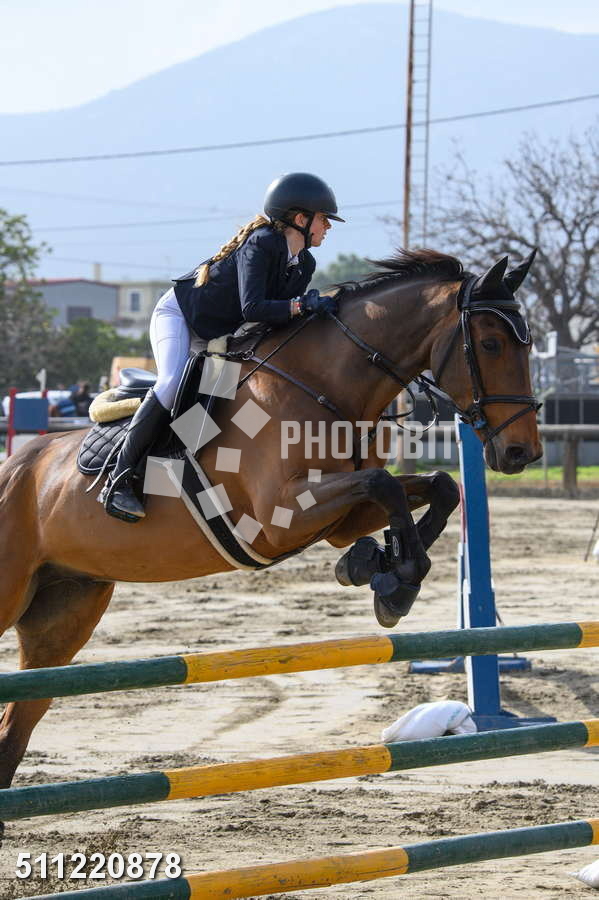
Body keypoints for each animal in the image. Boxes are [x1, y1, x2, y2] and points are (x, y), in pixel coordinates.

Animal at [0, 248, 541, 810]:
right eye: (491, 343)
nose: (522, 452)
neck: (323, 387)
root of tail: (15, 466)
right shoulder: (279, 518)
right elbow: (385, 485)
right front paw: (396, 577)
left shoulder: (338, 518)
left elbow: (437, 487)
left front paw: (382, 572)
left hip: (64, 612)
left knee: (17, 723)